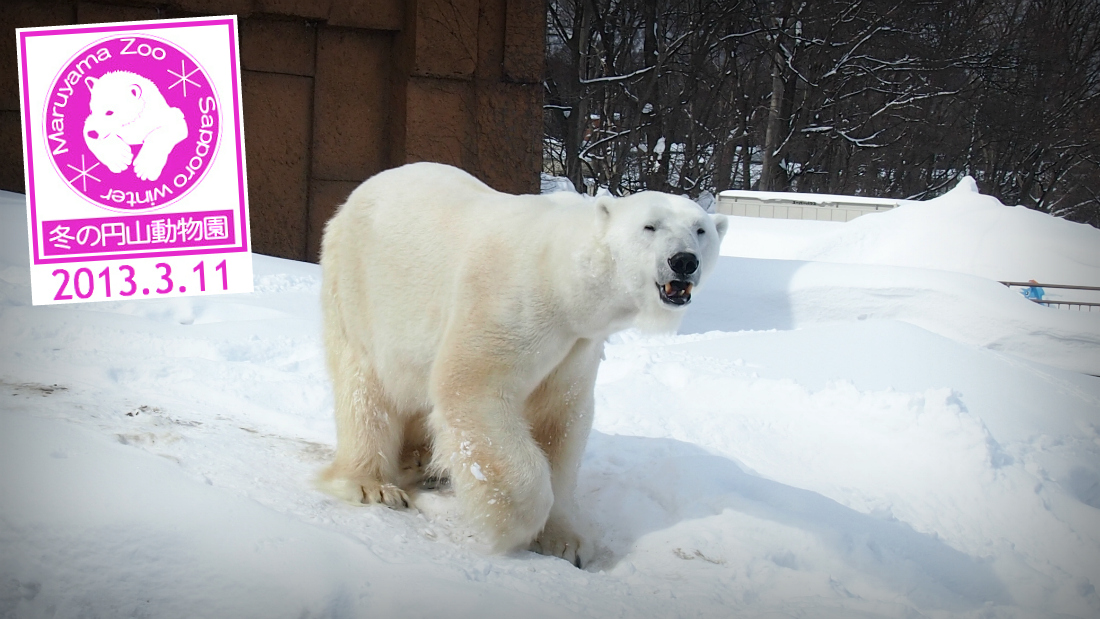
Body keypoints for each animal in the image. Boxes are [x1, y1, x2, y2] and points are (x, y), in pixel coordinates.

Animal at [316, 163, 730, 567]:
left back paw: (419, 461)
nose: (684, 261)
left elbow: (559, 420)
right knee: (365, 390)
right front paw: (509, 526)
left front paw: (566, 541)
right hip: (358, 290)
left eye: (701, 230)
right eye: (650, 226)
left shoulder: (576, 347)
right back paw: (372, 485)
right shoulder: (513, 306)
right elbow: (471, 387)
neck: (565, 279)